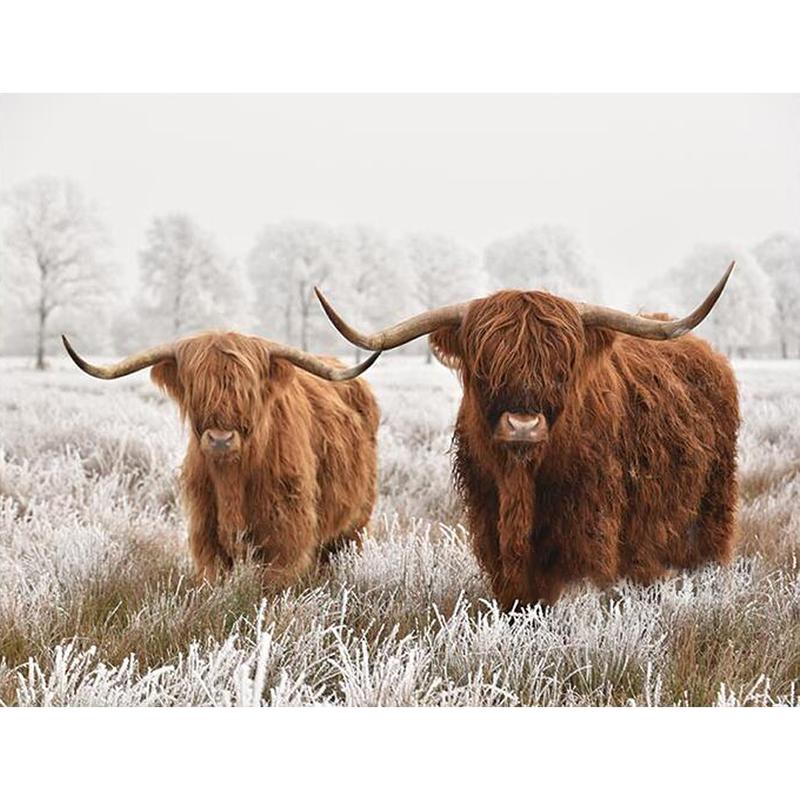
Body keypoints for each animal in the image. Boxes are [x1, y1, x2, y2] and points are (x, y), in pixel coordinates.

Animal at [63, 332, 381, 588]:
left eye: (247, 391)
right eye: (196, 389)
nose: (220, 439)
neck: (232, 478)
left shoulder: (286, 537)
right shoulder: (206, 534)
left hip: (354, 524)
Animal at [314, 263, 739, 609]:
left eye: (561, 368)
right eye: (484, 366)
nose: (522, 425)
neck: (521, 480)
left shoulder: (591, 531)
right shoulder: (491, 527)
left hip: (711, 513)